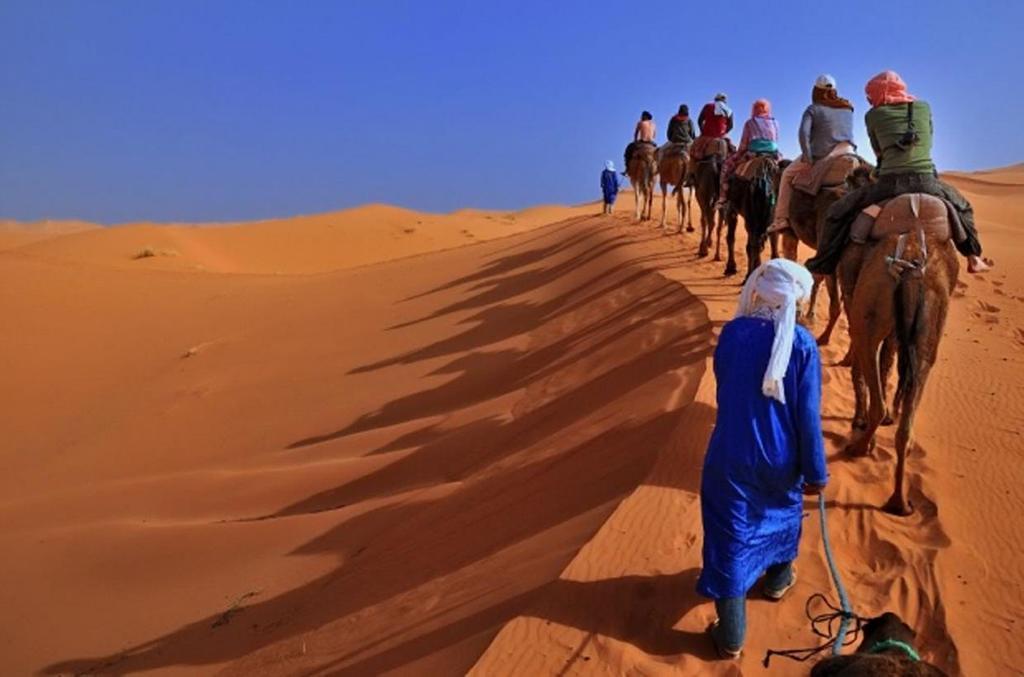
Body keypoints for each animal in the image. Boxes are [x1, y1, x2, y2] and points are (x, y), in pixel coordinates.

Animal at [839, 190, 958, 512]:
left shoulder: (855, 307)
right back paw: (899, 502)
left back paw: (859, 447)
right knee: (908, 423)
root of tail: (911, 265)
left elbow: (865, 366)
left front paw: (858, 418)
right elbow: (888, 362)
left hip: (870, 307)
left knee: (869, 365)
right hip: (930, 329)